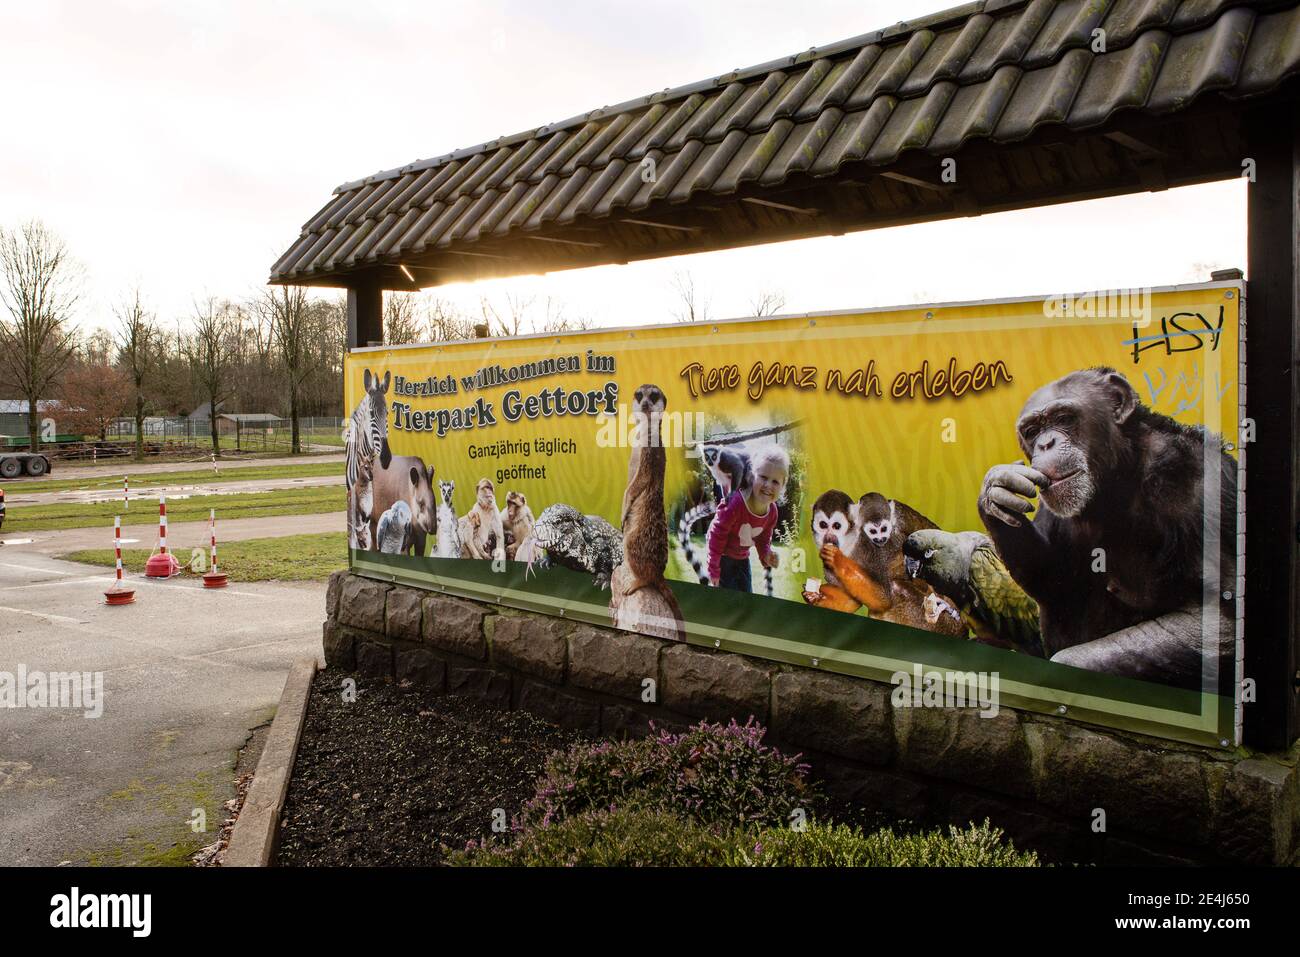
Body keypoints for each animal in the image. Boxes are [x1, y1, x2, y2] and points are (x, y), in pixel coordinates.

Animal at [977, 366, 1237, 686]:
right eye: (1032, 431)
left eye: (1064, 418)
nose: (1045, 443)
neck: (1118, 475)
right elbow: (1056, 580)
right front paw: (995, 491)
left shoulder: (1194, 479)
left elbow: (1220, 619)